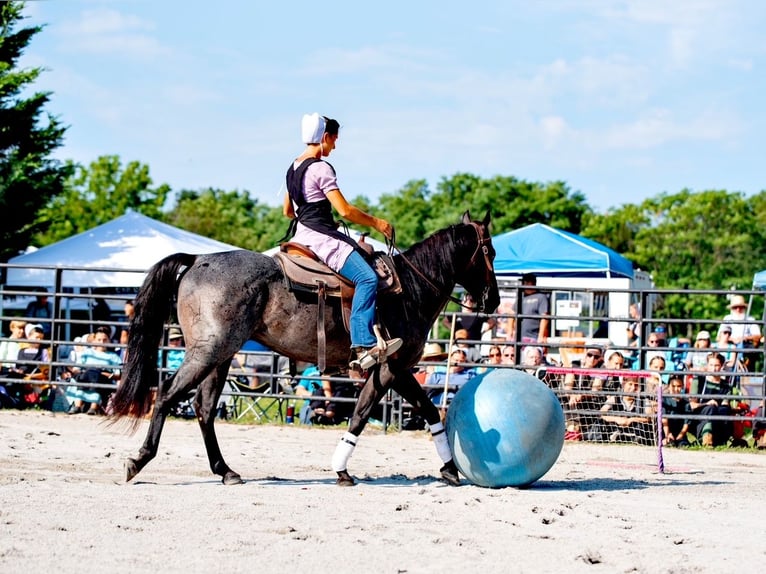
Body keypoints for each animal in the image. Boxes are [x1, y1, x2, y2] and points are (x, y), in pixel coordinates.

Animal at [109, 214, 504, 488]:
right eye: (490, 252)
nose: (494, 300)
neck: (409, 290)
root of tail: (197, 260)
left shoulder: (399, 369)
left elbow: (427, 410)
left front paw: (448, 468)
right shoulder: (390, 367)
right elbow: (365, 414)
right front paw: (343, 470)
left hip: (220, 357)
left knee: (204, 409)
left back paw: (226, 471)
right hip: (207, 353)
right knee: (166, 395)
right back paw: (138, 460)